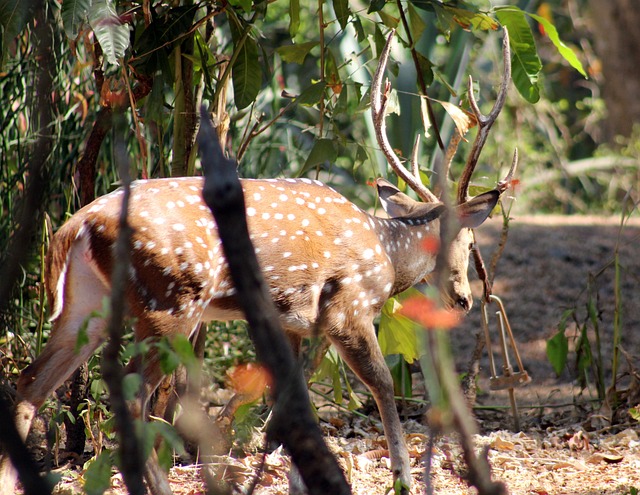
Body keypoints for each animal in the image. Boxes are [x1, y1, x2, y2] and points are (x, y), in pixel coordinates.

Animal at [0, 32, 516, 495]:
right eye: (468, 238)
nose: (464, 299)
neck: (385, 252)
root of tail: (77, 225)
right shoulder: (347, 307)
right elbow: (383, 383)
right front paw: (402, 477)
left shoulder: (291, 320)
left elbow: (290, 400)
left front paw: (293, 480)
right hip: (170, 300)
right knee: (129, 393)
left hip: (86, 301)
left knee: (32, 379)